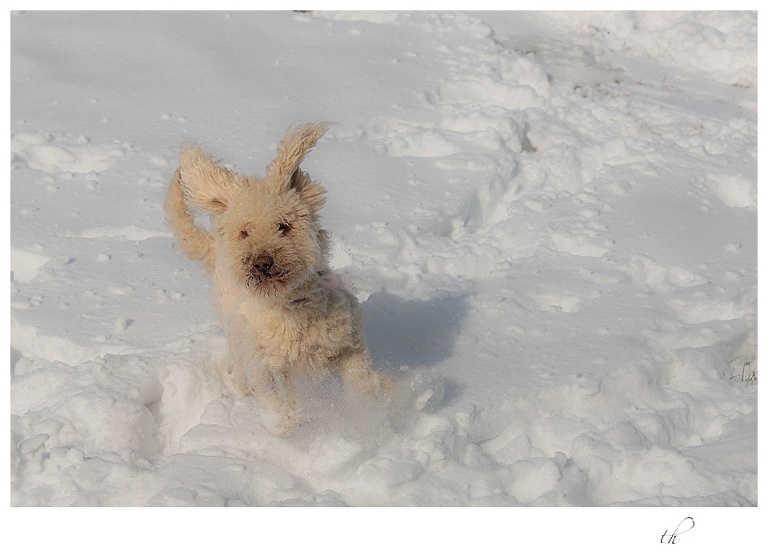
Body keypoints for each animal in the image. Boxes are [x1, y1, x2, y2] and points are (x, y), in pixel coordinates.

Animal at [165, 122, 388, 436]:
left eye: (283, 226)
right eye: (244, 232)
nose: (262, 262)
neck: (292, 307)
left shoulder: (349, 342)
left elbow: (360, 380)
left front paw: (369, 416)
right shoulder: (264, 360)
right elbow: (274, 395)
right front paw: (285, 423)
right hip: (236, 340)